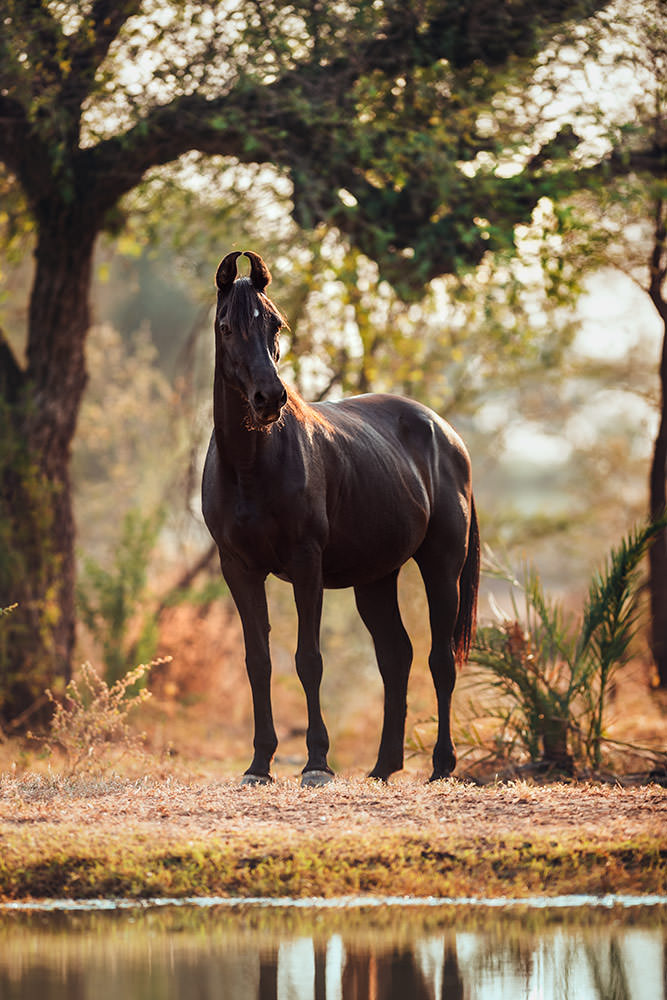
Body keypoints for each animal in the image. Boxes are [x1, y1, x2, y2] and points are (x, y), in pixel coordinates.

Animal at [201, 250, 480, 785]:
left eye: (275, 324)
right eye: (226, 327)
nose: (269, 399)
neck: (250, 467)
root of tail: (446, 433)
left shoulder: (305, 563)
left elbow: (308, 660)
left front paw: (316, 764)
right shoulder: (238, 569)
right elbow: (258, 661)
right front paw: (259, 765)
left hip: (441, 566)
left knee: (439, 660)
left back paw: (441, 765)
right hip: (375, 579)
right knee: (396, 657)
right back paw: (383, 767)